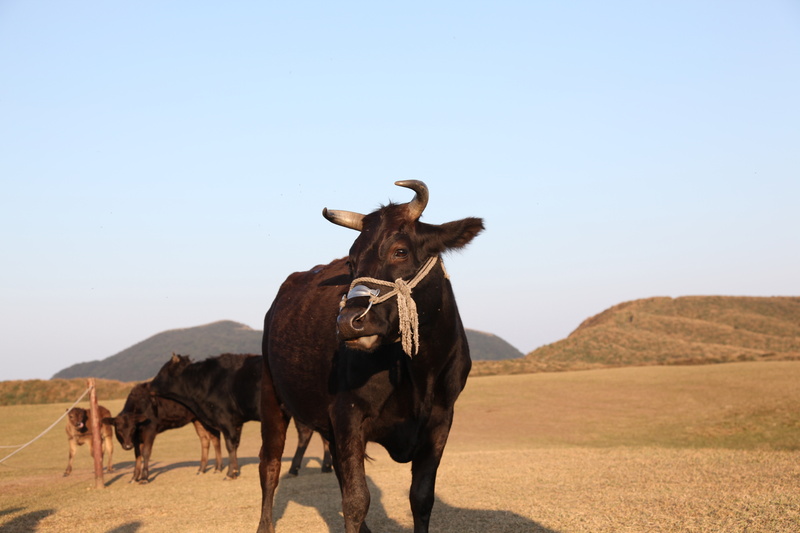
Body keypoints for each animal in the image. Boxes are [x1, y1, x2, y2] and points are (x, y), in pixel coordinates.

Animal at [152, 352, 330, 480]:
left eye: (163, 371)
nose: (150, 385)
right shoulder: (236, 422)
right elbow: (235, 445)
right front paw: (233, 470)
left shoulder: (226, 420)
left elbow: (230, 445)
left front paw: (230, 473)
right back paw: (323, 467)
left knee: (307, 435)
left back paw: (298, 468)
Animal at [258, 181, 482, 528]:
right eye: (350, 261)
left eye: (400, 251)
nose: (348, 322)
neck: (417, 373)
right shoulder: (348, 414)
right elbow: (356, 500)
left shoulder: (441, 420)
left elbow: (421, 498)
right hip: (271, 398)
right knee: (269, 466)